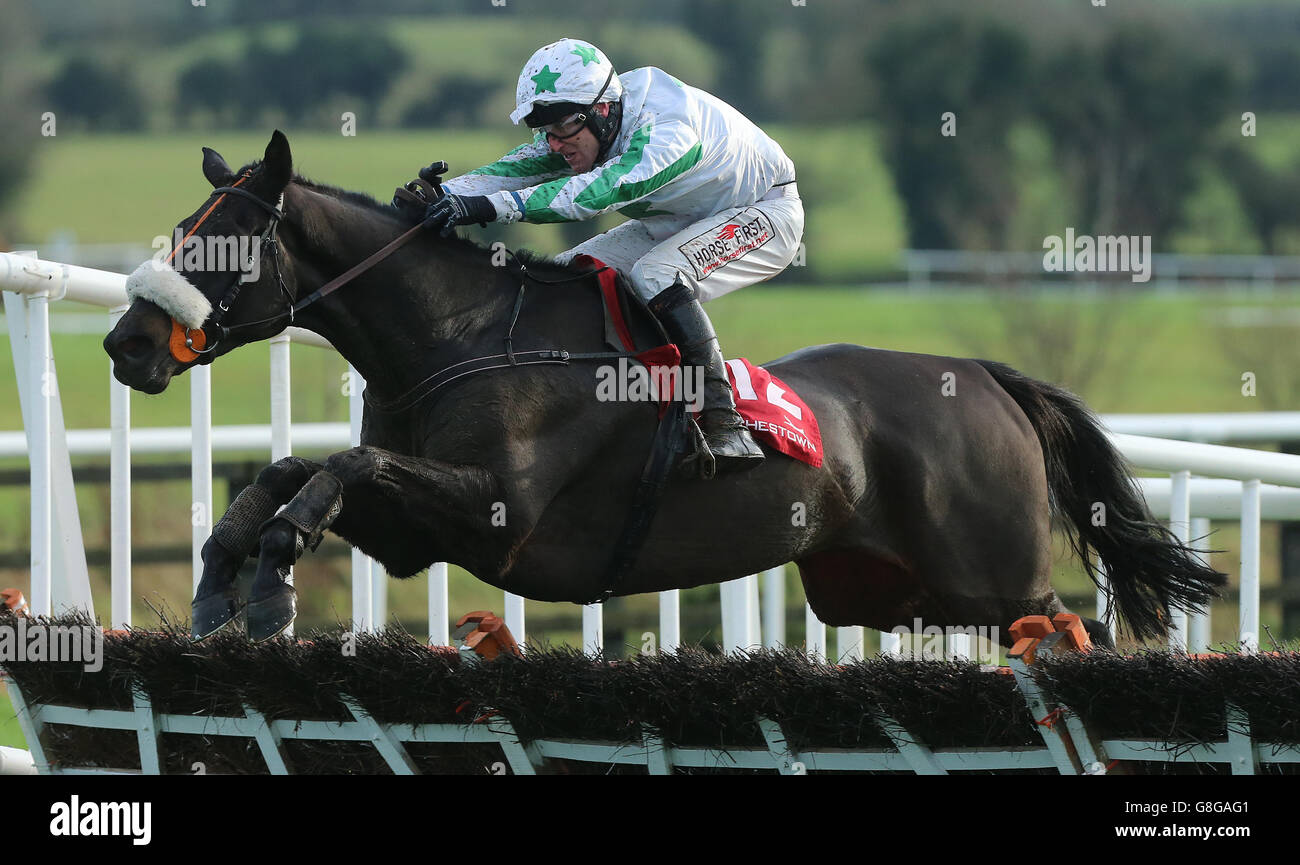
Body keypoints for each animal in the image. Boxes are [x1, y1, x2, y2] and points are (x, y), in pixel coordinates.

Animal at [104, 131, 1227, 645]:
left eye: (223, 240)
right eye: (183, 229)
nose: (125, 342)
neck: (462, 335)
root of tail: (989, 379)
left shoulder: (494, 512)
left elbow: (340, 465)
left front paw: (273, 578)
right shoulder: (419, 532)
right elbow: (298, 468)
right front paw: (222, 578)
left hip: (996, 577)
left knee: (1075, 632)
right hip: (891, 588)